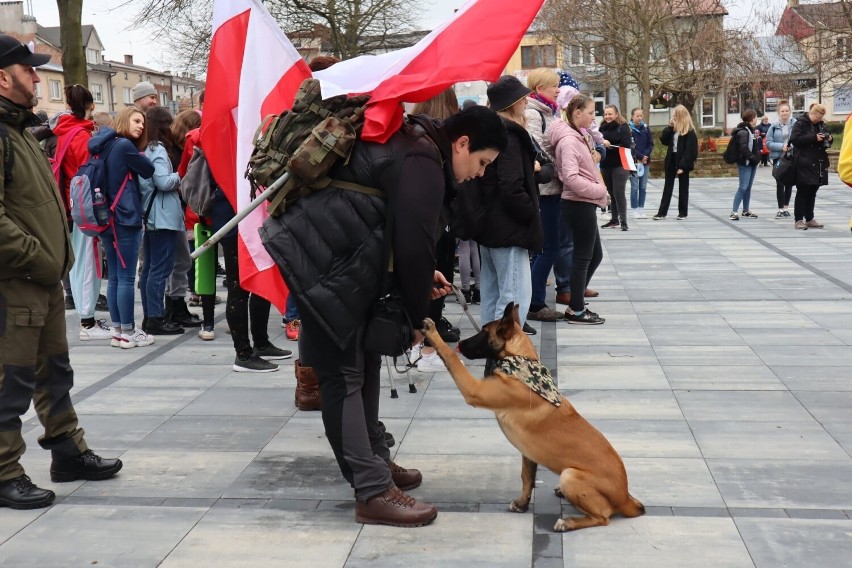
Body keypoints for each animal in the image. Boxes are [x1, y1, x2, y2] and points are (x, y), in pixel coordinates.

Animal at [422, 304, 644, 532]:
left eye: (484, 332)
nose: (460, 343)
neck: (519, 360)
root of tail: (626, 498)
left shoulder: (474, 390)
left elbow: (451, 358)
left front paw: (433, 333)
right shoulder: (529, 452)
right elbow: (527, 478)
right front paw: (522, 503)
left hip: (570, 475)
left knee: (602, 517)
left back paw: (569, 522)